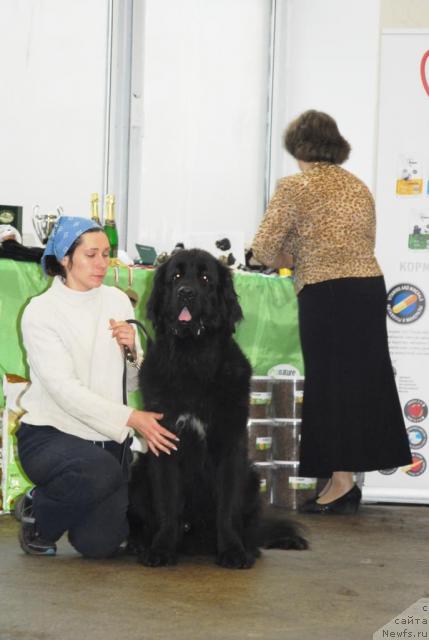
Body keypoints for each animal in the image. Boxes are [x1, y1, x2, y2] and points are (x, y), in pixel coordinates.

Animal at [128, 248, 308, 568]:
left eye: (204, 278)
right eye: (176, 275)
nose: (186, 293)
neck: (193, 357)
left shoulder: (229, 445)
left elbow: (227, 507)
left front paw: (233, 551)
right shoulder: (165, 442)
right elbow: (167, 503)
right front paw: (161, 549)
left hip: (252, 477)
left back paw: (249, 547)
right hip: (138, 473)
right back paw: (139, 543)